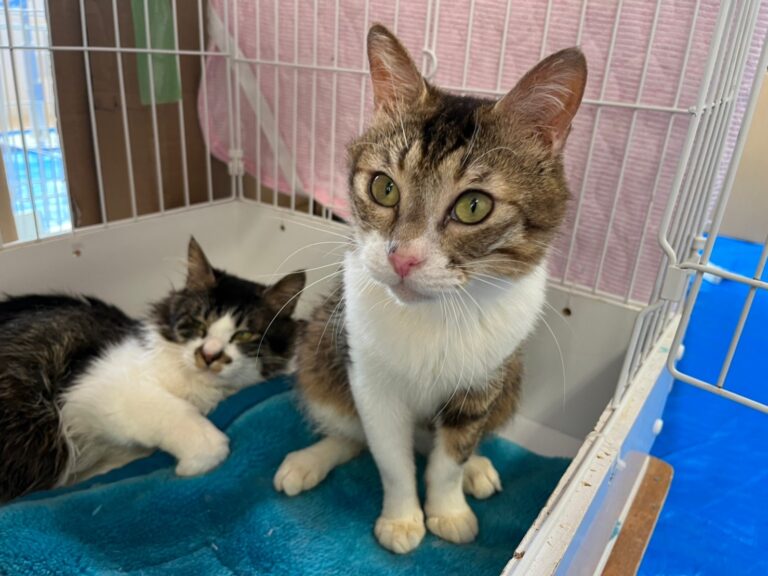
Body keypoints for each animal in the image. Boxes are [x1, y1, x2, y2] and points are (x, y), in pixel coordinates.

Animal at [0, 237, 305, 502]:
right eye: (199, 323)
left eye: (244, 335)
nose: (208, 356)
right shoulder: (95, 383)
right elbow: (173, 410)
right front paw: (201, 456)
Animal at [273, 24, 586, 554]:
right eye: (383, 187)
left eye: (474, 206)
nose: (403, 257)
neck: (434, 313)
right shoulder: (370, 377)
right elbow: (389, 456)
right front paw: (402, 520)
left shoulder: (485, 376)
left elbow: (451, 455)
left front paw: (449, 511)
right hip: (321, 345)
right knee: (348, 427)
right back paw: (308, 460)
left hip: (513, 374)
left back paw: (479, 469)